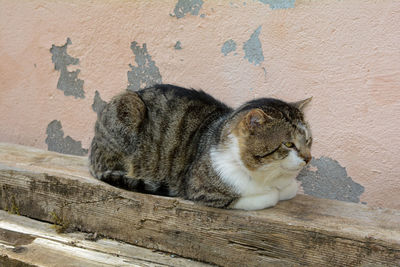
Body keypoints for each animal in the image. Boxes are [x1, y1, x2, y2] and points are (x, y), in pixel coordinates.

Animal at [89, 85, 310, 210]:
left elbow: (289, 190)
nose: (308, 159)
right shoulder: (201, 189)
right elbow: (262, 198)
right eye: (288, 144)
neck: (270, 177)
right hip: (127, 105)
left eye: (308, 141)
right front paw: (271, 194)